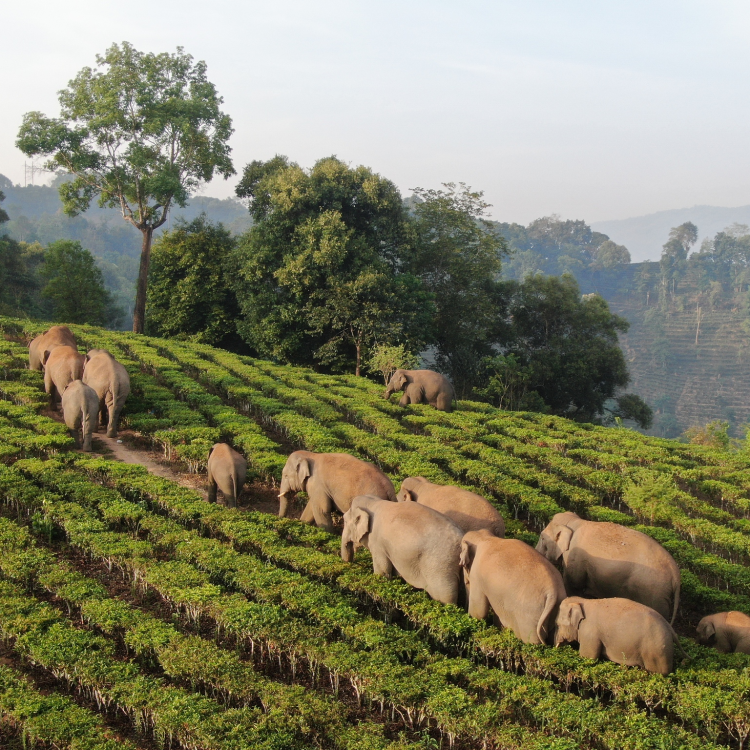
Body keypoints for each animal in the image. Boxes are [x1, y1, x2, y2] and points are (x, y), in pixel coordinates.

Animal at [536, 516, 680, 624]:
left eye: (542, 537)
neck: (576, 521)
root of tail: (675, 574)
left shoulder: (574, 558)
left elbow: (573, 585)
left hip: (654, 593)